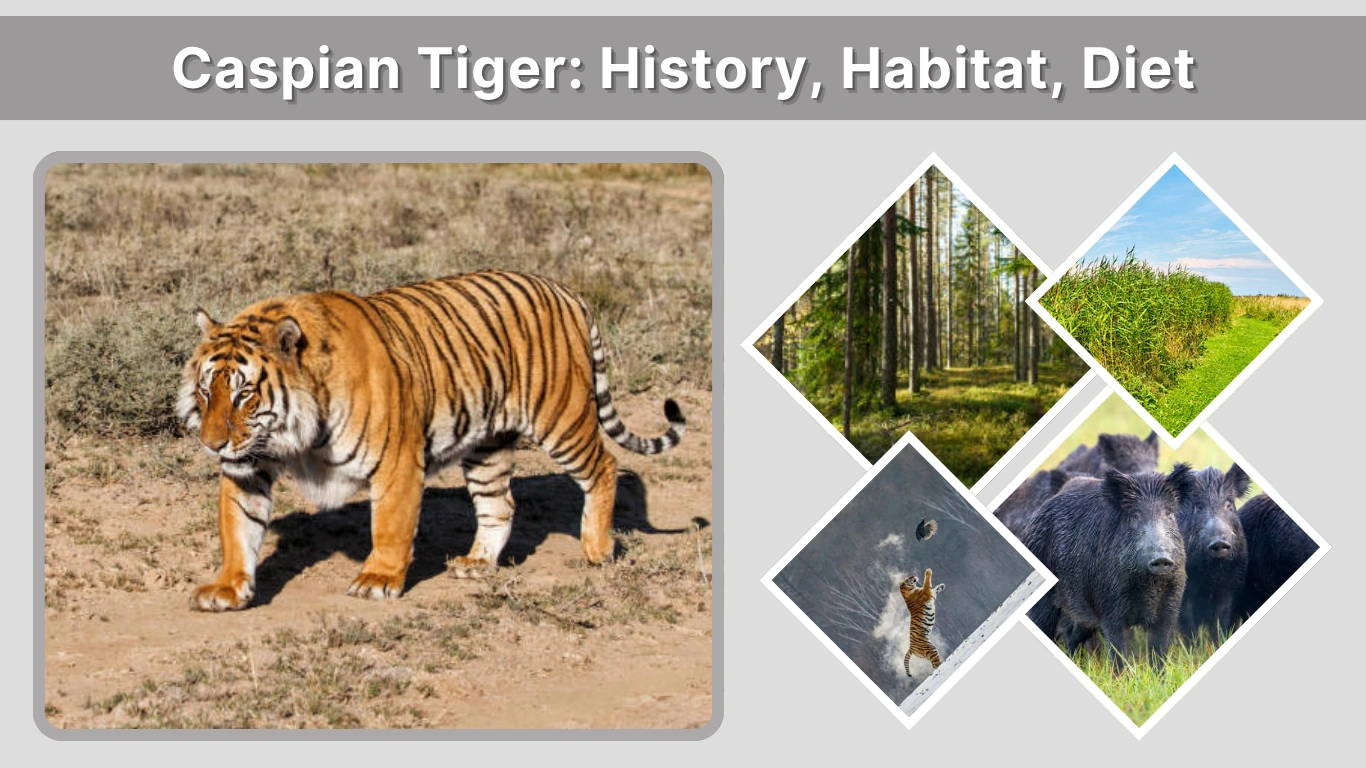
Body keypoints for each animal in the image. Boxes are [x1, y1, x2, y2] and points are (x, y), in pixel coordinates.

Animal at [176, 270, 686, 612]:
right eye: (206, 391)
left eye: (243, 394)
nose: (212, 444)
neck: (296, 435)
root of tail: (567, 291)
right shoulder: (249, 467)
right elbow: (239, 529)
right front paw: (227, 588)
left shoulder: (397, 461)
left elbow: (390, 527)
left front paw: (378, 580)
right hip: (487, 447)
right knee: (501, 505)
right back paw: (476, 563)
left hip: (562, 418)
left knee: (605, 466)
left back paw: (598, 550)